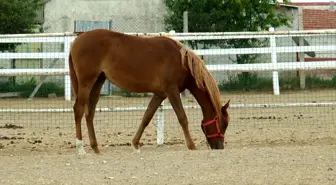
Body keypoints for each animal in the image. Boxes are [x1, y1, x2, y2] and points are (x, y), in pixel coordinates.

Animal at [69, 28, 231, 154]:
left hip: (98, 82)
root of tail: (76, 40)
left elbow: (147, 117)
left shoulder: (160, 94)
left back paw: (95, 148)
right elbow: (182, 118)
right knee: (79, 110)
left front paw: (135, 144)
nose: (219, 147)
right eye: (223, 124)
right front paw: (191, 146)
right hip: (86, 83)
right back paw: (80, 148)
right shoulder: (172, 91)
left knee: (90, 113)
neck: (181, 61)